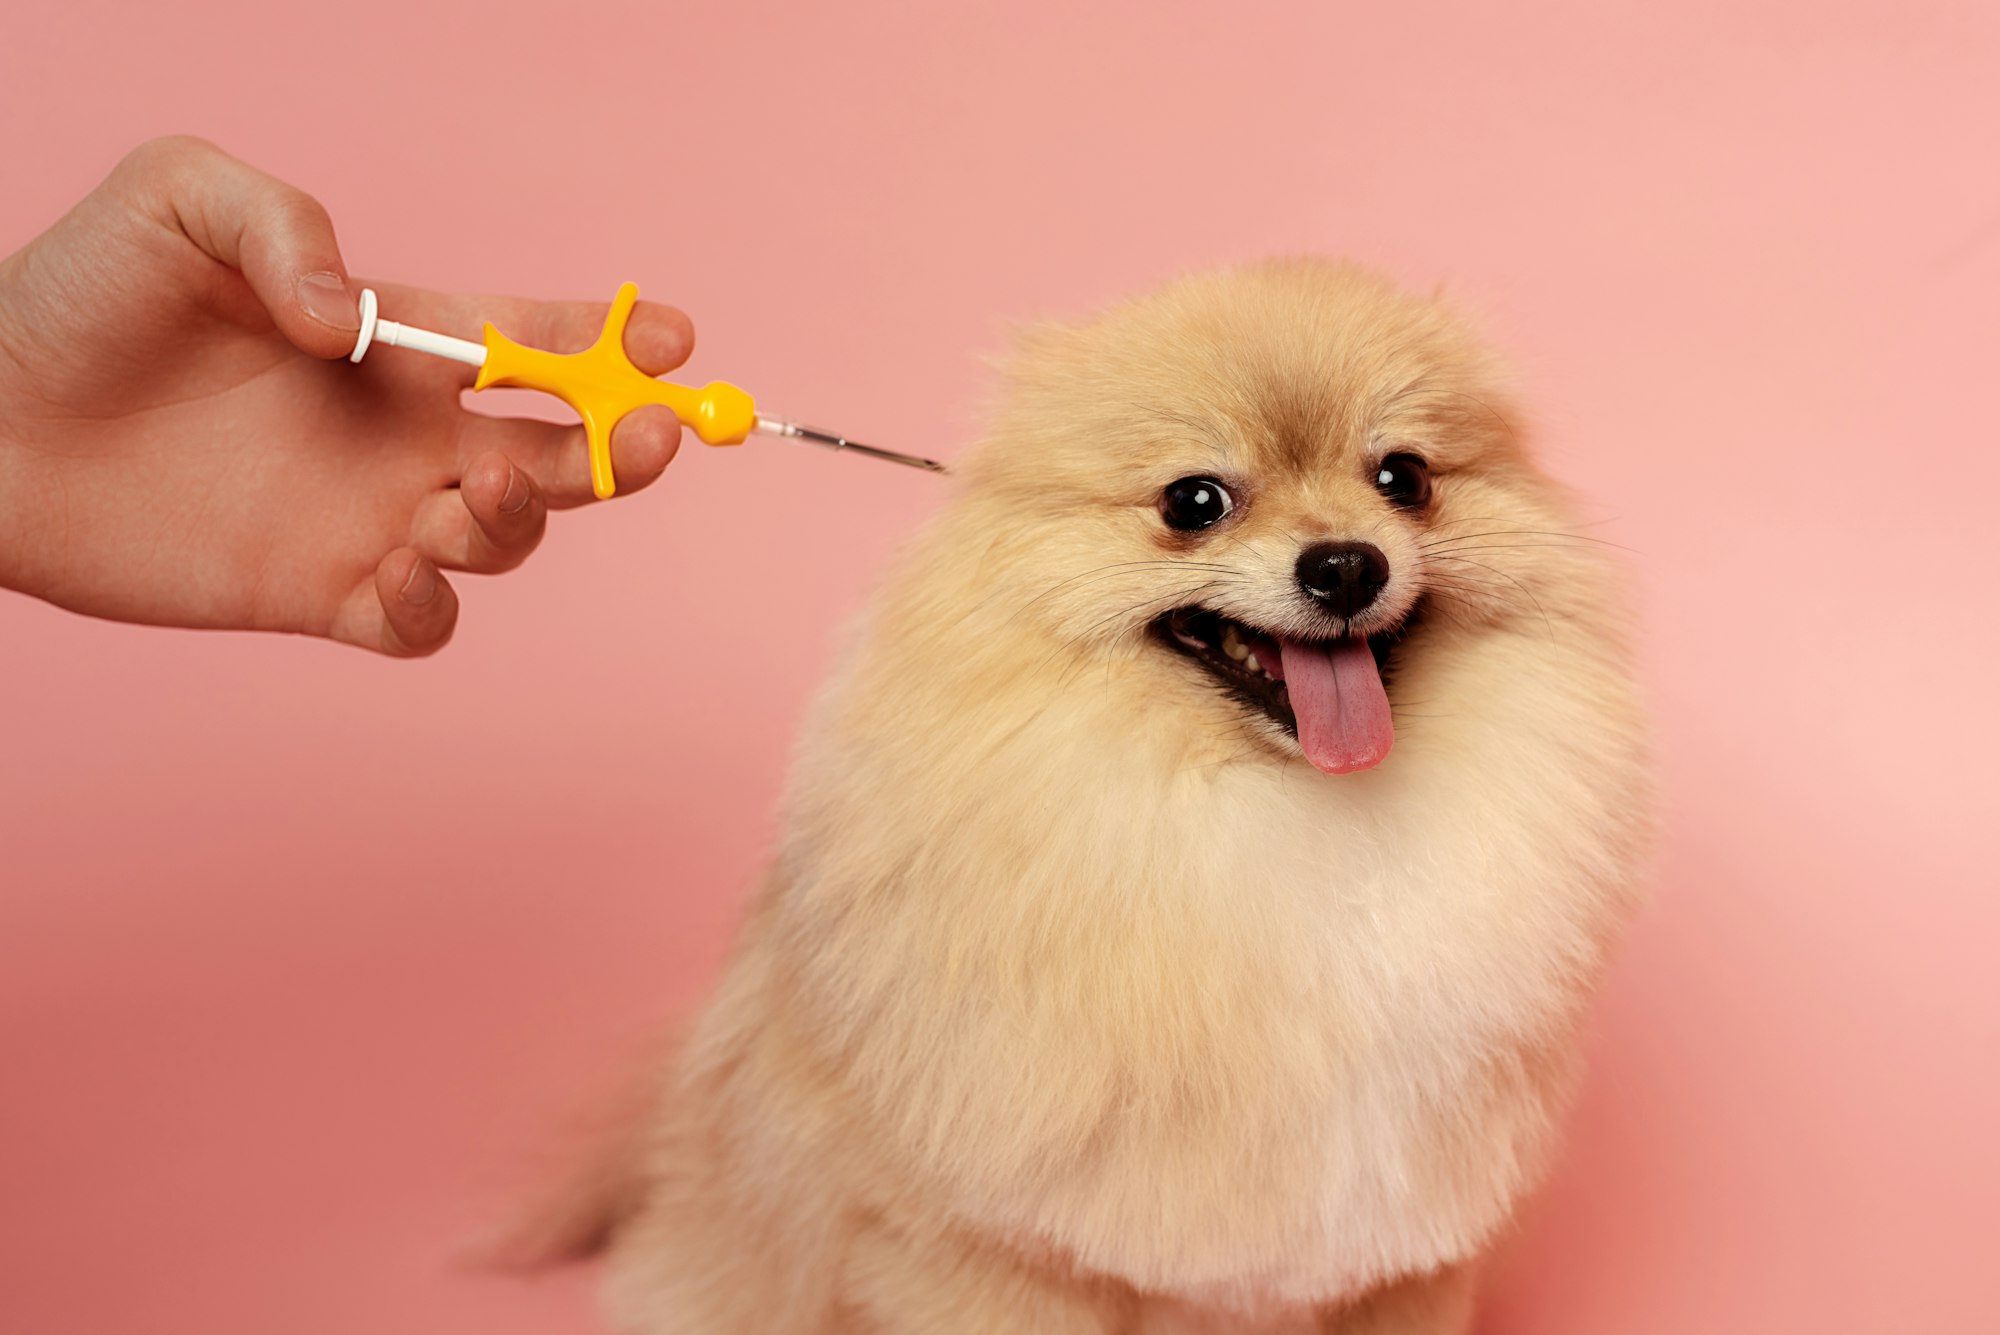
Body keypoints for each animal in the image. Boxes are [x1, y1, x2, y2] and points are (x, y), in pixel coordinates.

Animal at [520, 255, 1656, 1327]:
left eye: (1403, 476)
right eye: (1194, 503)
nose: (1344, 565)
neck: (1293, 817)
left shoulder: (1405, 1255)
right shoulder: (986, 1249)